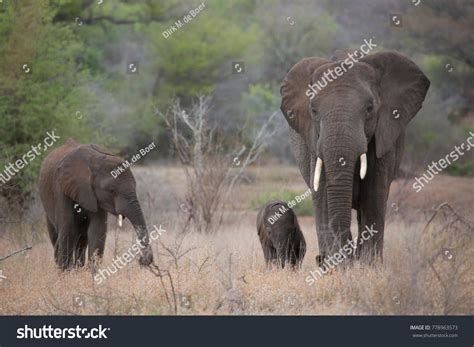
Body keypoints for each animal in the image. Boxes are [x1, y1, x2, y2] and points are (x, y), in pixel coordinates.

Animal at [39, 139, 154, 272]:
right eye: (111, 190)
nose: (142, 260)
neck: (93, 162)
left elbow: (97, 230)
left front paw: (93, 274)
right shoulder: (61, 188)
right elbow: (68, 227)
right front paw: (65, 273)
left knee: (82, 240)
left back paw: (78, 268)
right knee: (57, 235)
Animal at [280, 51, 432, 264]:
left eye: (369, 109)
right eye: (313, 111)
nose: (319, 259)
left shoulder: (383, 138)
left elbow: (373, 196)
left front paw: (368, 266)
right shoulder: (313, 144)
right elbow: (323, 197)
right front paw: (338, 266)